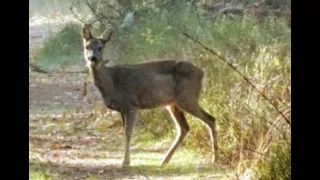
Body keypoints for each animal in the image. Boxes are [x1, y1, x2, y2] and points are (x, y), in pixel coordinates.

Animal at [81, 24, 219, 167]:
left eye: (100, 47)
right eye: (87, 47)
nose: (93, 58)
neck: (112, 82)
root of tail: (202, 72)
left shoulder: (130, 104)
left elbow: (128, 133)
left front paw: (125, 162)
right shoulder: (121, 109)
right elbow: (124, 132)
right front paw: (126, 160)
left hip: (187, 97)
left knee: (210, 119)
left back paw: (215, 158)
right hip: (173, 103)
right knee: (184, 127)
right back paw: (164, 161)